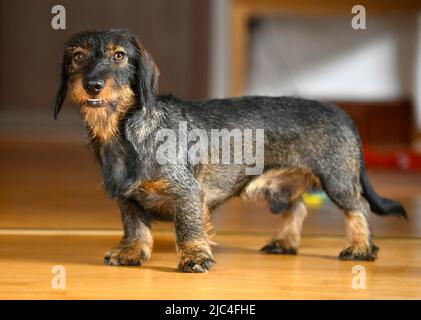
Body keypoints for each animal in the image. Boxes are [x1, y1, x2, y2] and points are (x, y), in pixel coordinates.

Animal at [54, 29, 406, 272]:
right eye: (77, 57)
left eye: (119, 56)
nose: (93, 85)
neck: (126, 133)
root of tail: (342, 113)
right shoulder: (127, 198)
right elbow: (135, 226)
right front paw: (131, 252)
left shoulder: (186, 192)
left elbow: (188, 225)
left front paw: (194, 256)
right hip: (284, 186)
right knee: (298, 209)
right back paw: (284, 243)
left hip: (337, 180)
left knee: (358, 208)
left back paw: (360, 247)